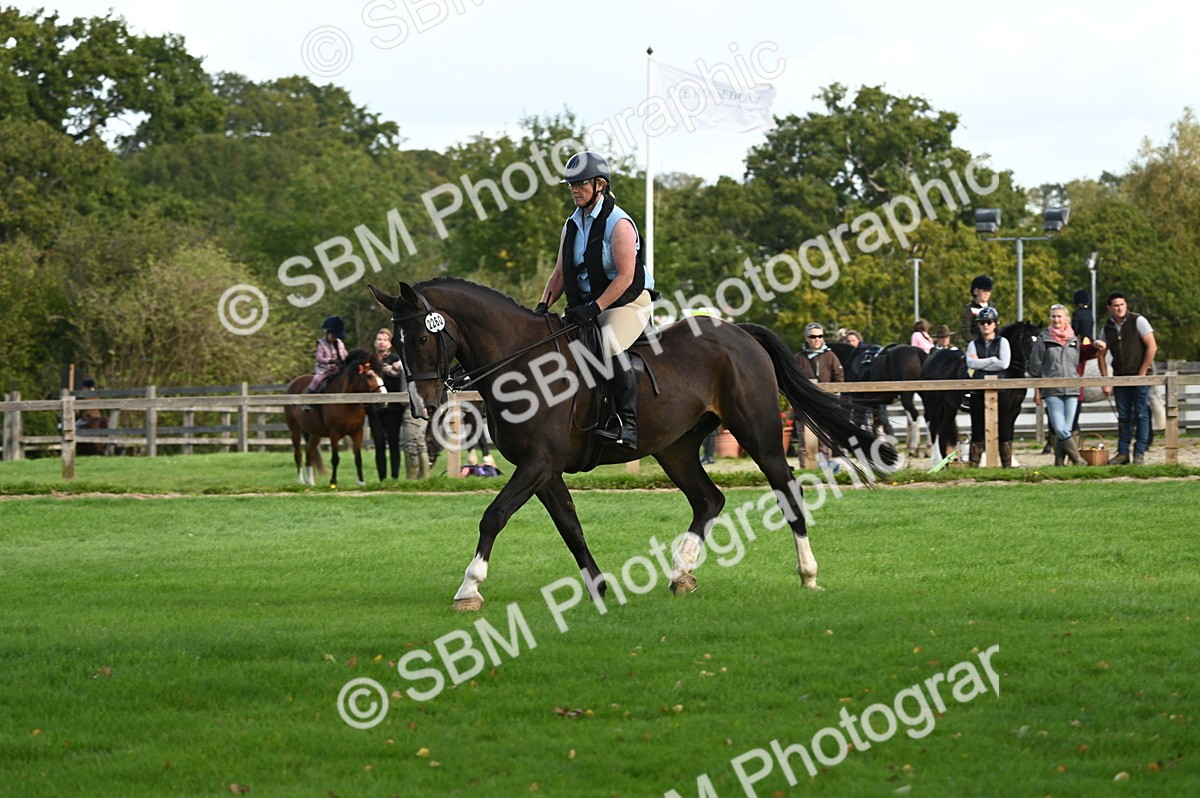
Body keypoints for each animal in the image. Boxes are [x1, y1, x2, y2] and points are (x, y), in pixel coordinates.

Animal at [284, 349, 385, 488]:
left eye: (381, 374)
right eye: (369, 376)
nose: (383, 402)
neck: (347, 402)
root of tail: (293, 383)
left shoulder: (357, 433)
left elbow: (358, 458)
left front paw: (361, 482)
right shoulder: (334, 434)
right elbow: (335, 458)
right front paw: (333, 482)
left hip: (315, 433)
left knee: (309, 453)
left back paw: (310, 482)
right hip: (295, 429)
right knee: (298, 453)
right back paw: (301, 481)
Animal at [369, 277, 898, 611]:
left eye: (421, 338)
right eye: (397, 342)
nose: (420, 404)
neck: (522, 364)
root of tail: (737, 332)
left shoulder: (537, 463)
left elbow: (493, 515)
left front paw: (469, 588)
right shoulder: (543, 469)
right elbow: (570, 527)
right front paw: (600, 587)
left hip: (759, 434)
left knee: (788, 491)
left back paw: (808, 574)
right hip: (676, 448)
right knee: (708, 500)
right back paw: (681, 573)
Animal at [919, 321, 1041, 463]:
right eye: (1027, 341)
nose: (1034, 366)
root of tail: (931, 358)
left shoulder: (1014, 410)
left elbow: (1007, 433)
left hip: (949, 407)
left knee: (943, 430)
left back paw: (946, 463)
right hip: (934, 405)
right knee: (934, 430)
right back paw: (937, 461)